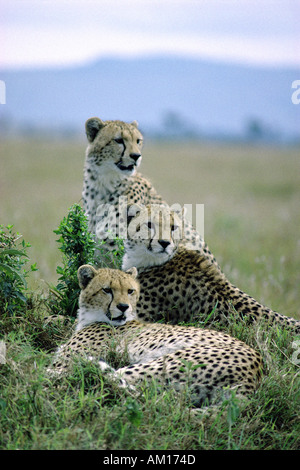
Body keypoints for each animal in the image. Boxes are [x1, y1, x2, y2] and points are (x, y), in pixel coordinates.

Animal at [50, 266, 264, 406]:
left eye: (130, 291)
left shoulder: (64, 361)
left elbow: (54, 367)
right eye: (107, 290)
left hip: (167, 363)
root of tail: (256, 373)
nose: (123, 307)